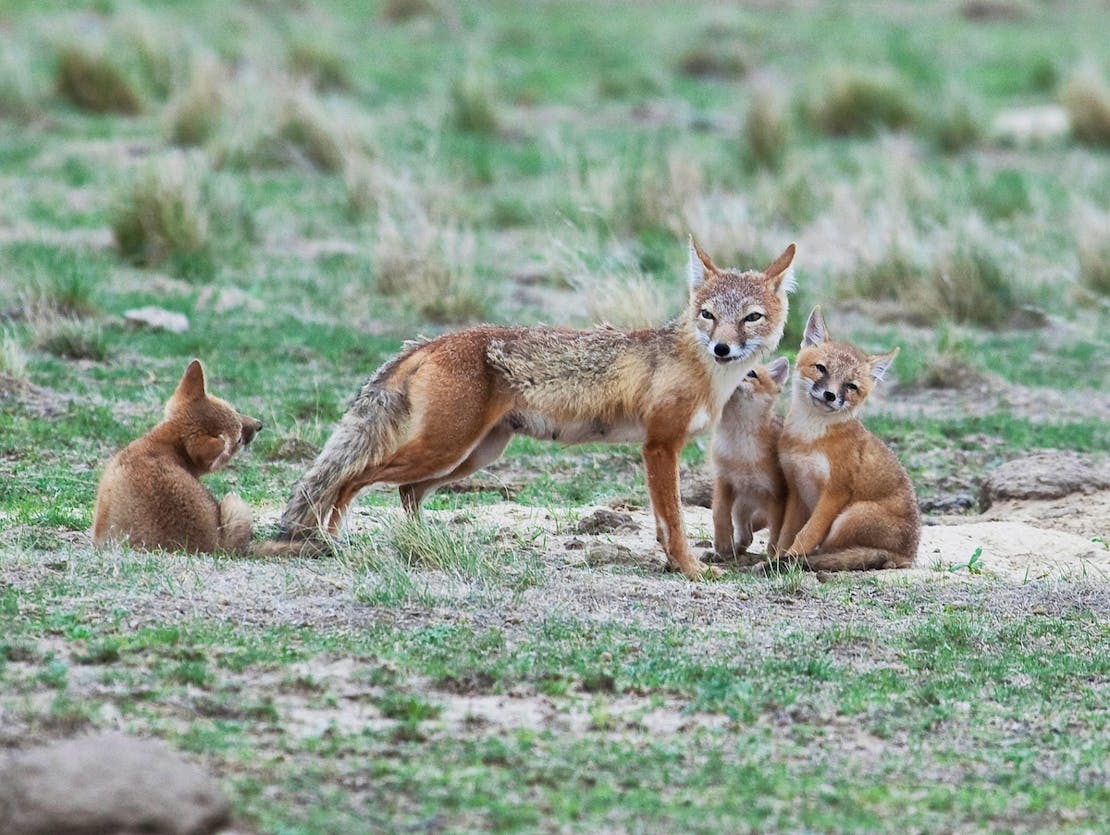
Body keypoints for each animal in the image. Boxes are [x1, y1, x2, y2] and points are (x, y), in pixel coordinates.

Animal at [92, 359, 262, 554]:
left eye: (235, 411)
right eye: (239, 439)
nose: (260, 424)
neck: (163, 446)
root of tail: (214, 547)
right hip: (232, 502)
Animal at [710, 356, 789, 562]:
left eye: (751, 373)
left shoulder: (777, 494)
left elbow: (776, 532)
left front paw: (772, 557)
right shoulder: (724, 480)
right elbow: (718, 513)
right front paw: (722, 543)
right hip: (741, 507)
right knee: (747, 535)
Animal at [770, 306, 920, 571]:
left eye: (850, 386)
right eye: (821, 368)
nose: (830, 395)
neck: (809, 439)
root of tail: (908, 555)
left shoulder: (835, 492)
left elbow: (807, 534)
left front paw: (788, 560)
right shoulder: (797, 489)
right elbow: (786, 535)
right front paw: (779, 558)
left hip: (849, 515)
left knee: (835, 551)